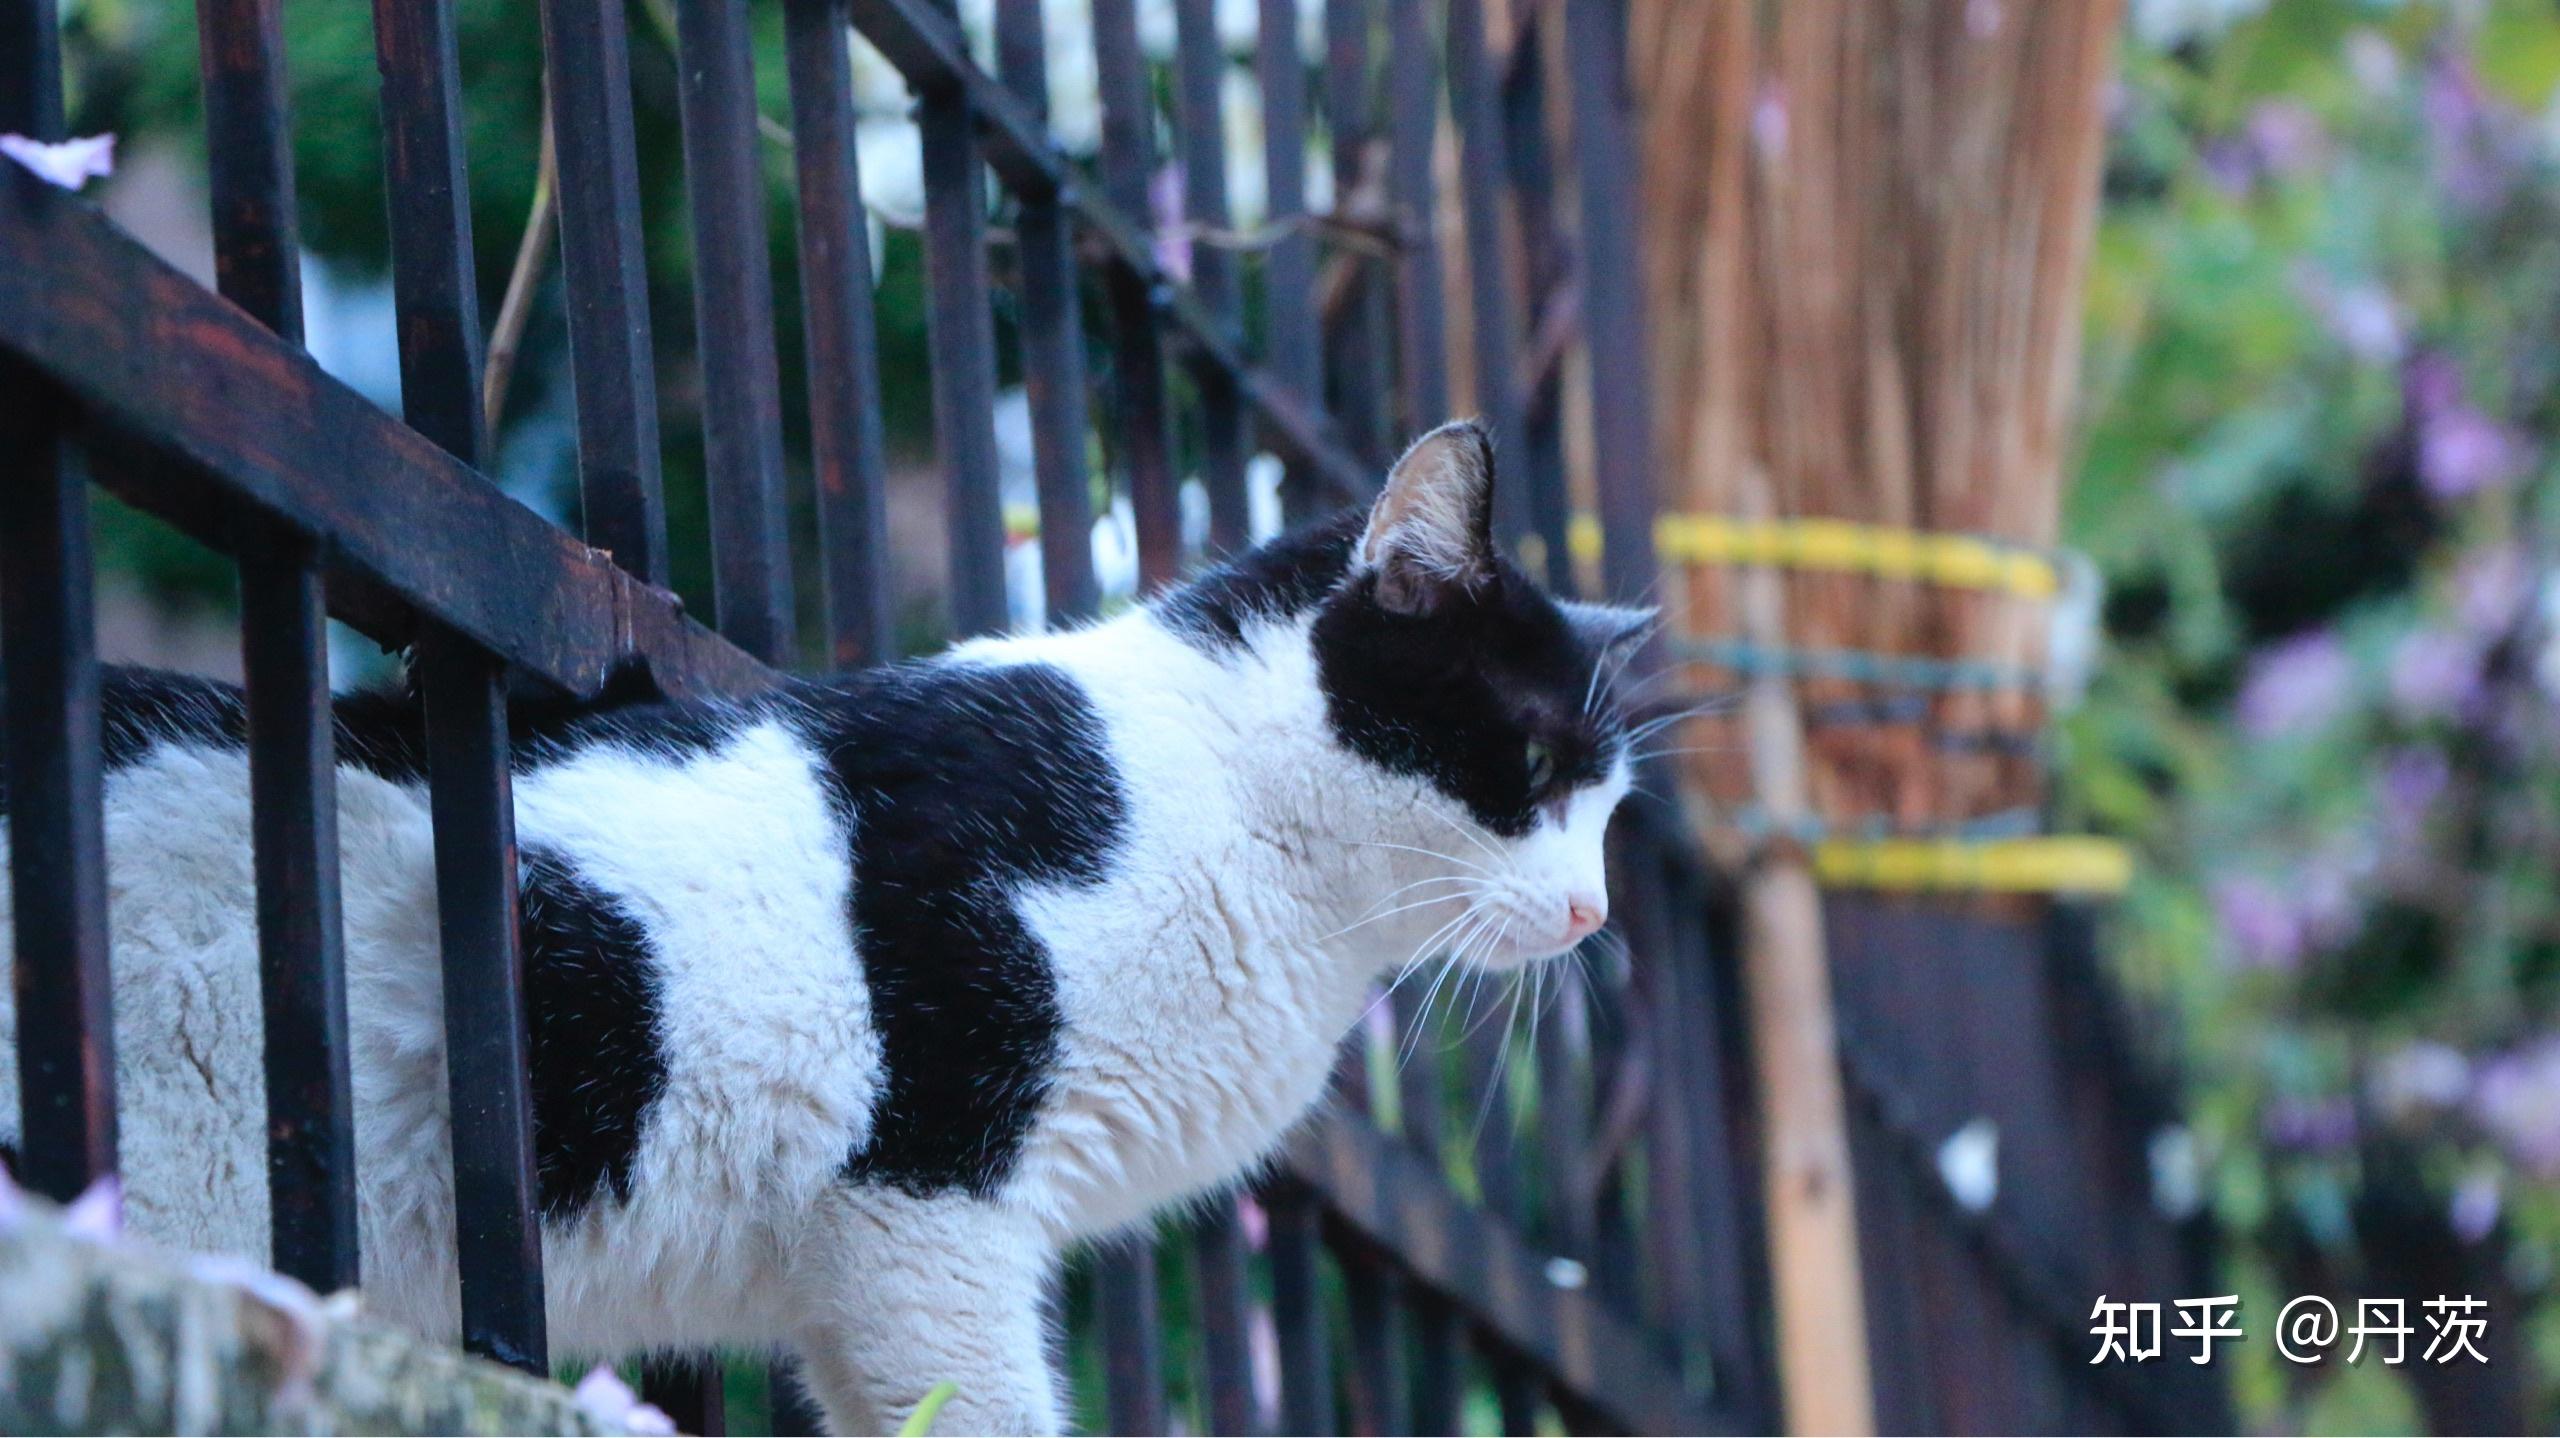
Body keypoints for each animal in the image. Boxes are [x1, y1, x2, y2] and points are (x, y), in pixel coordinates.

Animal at [0, 419, 1638, 1422]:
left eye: (1614, 807)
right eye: (1534, 765)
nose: (1590, 908)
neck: (1235, 804)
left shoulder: (852, 1279)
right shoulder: (928, 1197)